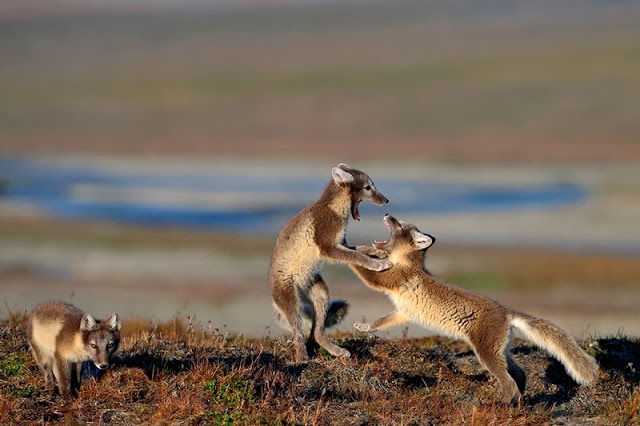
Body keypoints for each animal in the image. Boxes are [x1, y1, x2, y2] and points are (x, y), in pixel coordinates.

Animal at [268, 161, 390, 362]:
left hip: (321, 293)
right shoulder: (328, 248)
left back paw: (337, 351)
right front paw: (378, 265)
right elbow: (357, 256)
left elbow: (361, 249)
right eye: (368, 187)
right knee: (298, 334)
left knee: (317, 333)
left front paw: (379, 253)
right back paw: (302, 357)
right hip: (291, 301)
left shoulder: (342, 243)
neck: (334, 209)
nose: (386, 201)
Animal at [352, 215, 596, 404]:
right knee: (520, 373)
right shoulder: (403, 312)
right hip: (501, 352)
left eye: (400, 225)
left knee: (509, 382)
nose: (387, 213)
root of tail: (505, 311)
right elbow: (380, 322)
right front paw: (364, 327)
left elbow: (361, 267)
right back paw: (521, 402)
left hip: (486, 354)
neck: (405, 263)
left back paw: (502, 406)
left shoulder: (385, 281)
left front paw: (349, 248)